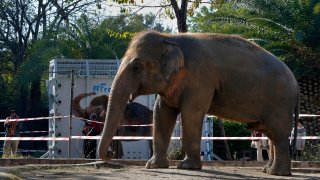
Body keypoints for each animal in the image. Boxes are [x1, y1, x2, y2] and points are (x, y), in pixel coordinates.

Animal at [98, 30, 300, 176]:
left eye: (137, 67)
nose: (110, 154)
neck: (170, 38)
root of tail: (296, 83)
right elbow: (161, 112)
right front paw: (154, 166)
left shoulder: (201, 79)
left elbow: (191, 113)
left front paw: (186, 167)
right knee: (270, 134)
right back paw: (268, 170)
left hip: (279, 101)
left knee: (278, 134)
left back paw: (277, 173)